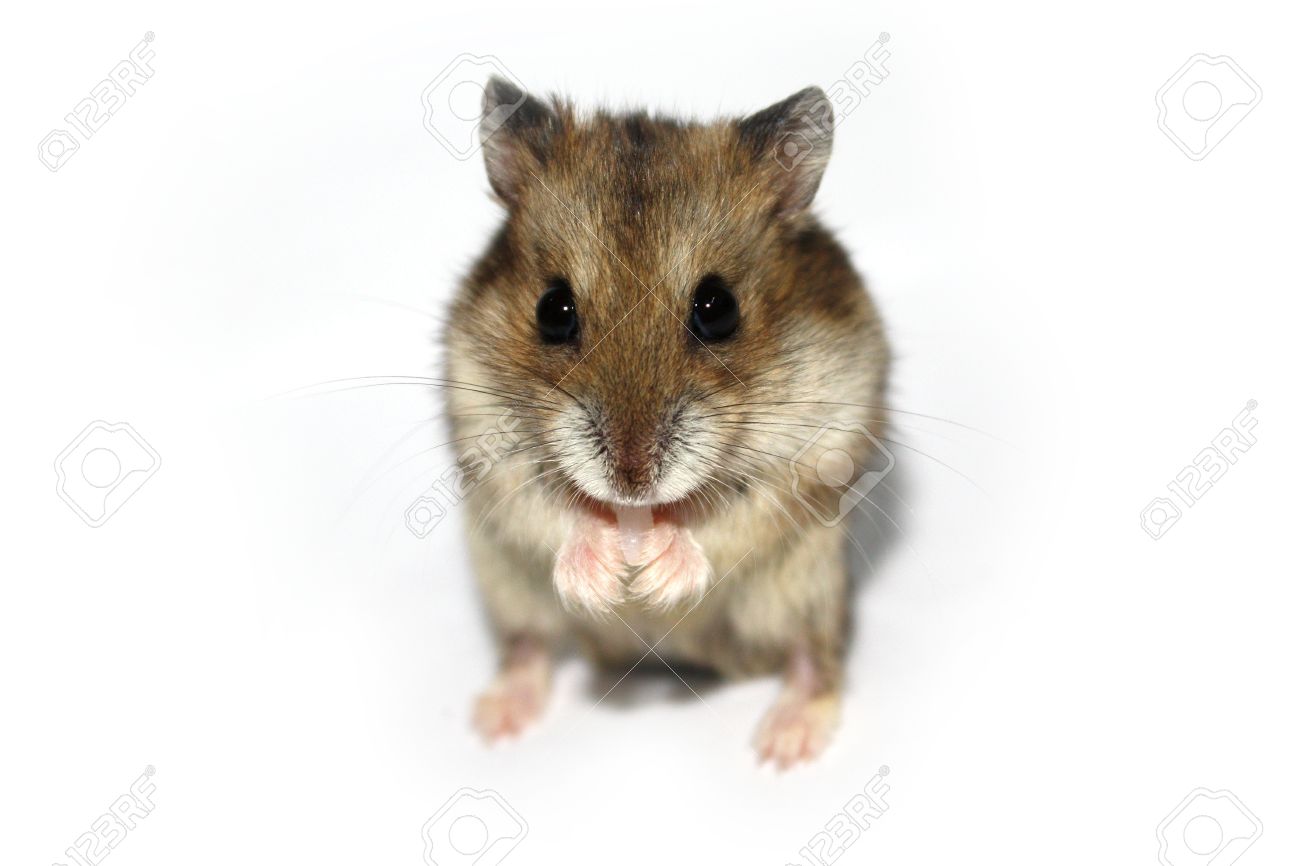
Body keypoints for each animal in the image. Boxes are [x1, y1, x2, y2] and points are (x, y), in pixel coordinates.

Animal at [441, 78, 889, 767]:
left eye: (717, 308)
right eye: (552, 310)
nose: (631, 484)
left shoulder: (817, 457)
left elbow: (726, 517)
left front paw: (652, 571)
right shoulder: (487, 448)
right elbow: (552, 509)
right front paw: (607, 573)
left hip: (811, 588)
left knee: (813, 660)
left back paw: (784, 746)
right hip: (506, 589)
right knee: (528, 646)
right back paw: (497, 722)